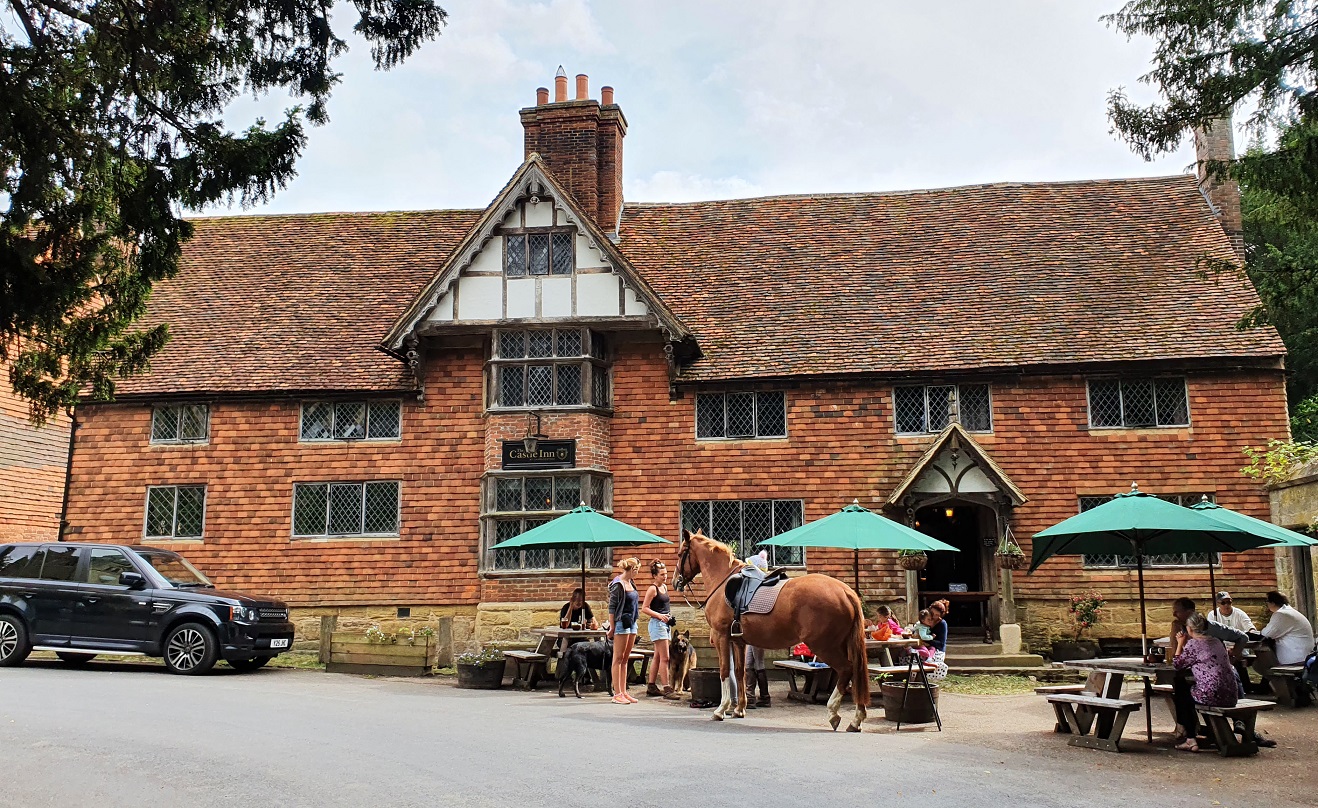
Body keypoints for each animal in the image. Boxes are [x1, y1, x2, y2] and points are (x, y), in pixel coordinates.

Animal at [674, 527, 869, 727]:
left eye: (681, 554)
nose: (675, 582)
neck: (723, 582)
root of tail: (846, 592)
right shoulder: (739, 642)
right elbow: (740, 672)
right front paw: (739, 709)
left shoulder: (722, 637)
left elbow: (724, 670)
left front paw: (721, 709)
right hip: (842, 645)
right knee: (856, 671)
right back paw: (857, 718)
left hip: (824, 646)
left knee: (846, 670)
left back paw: (834, 713)